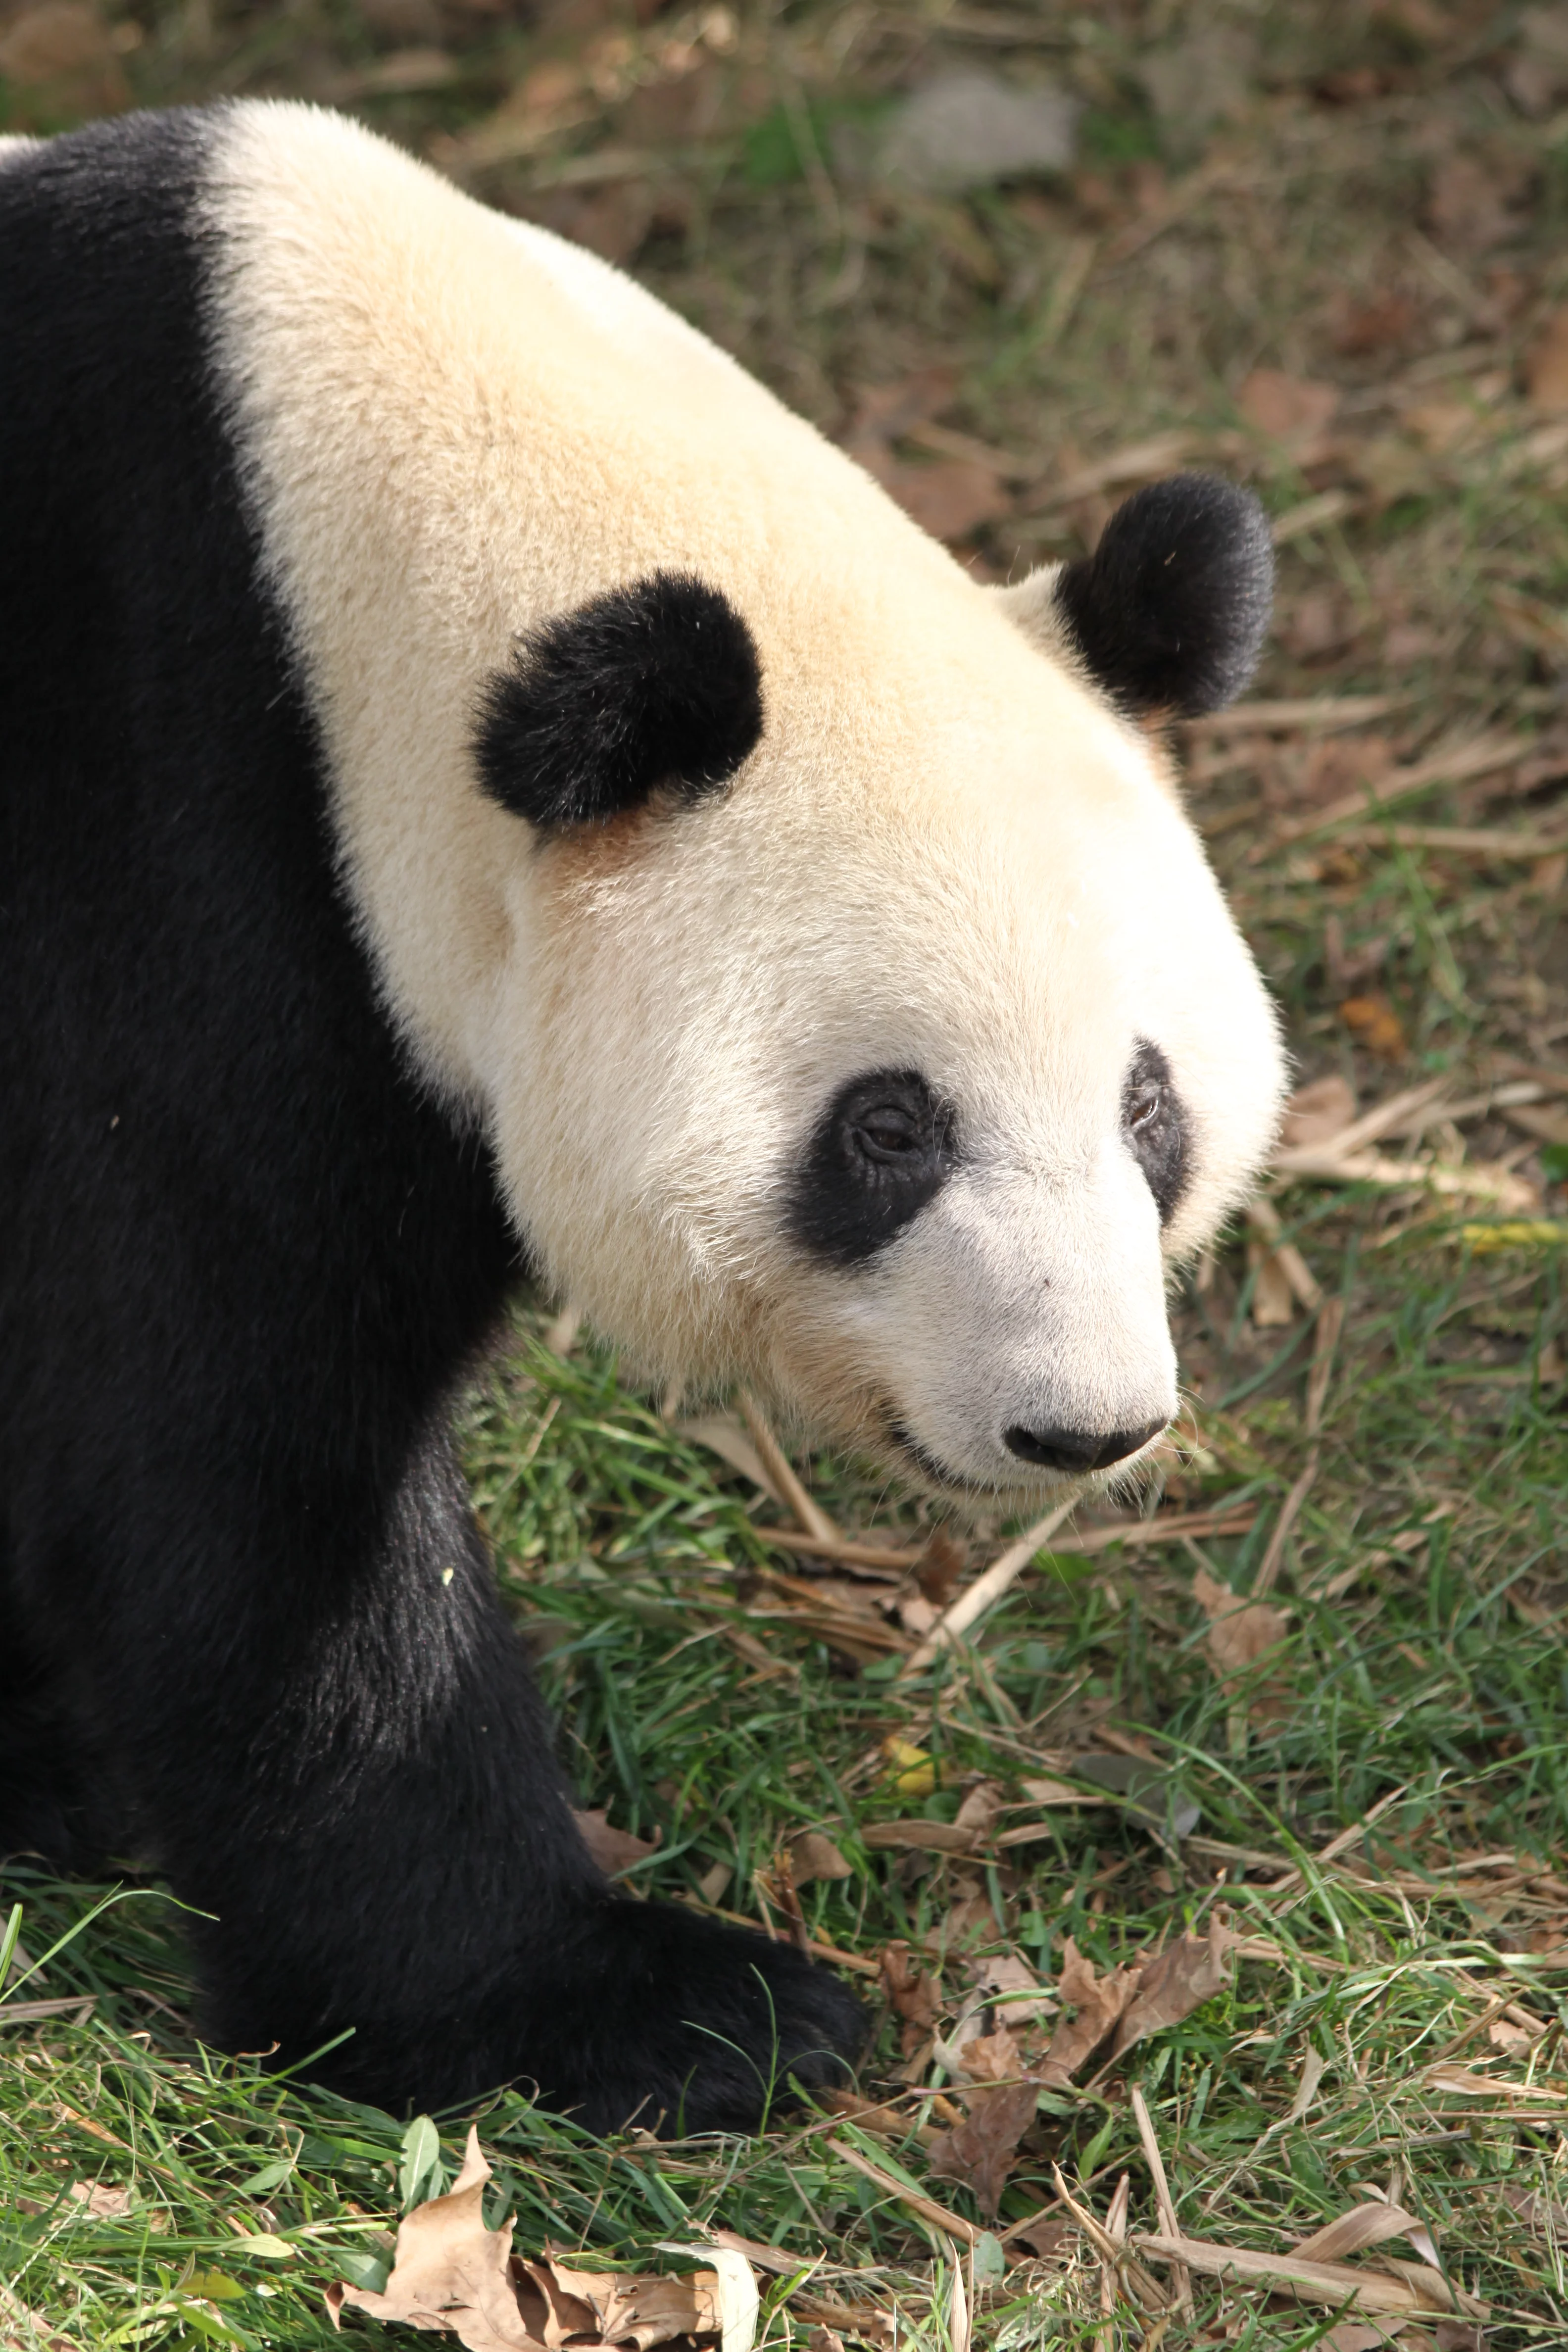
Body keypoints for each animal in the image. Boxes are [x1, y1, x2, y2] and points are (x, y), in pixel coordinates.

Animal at [0, 102, 1285, 2134]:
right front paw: (644, 2007)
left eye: (1147, 1104)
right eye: (890, 1130)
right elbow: (234, 1460)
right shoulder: (170, 848)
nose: (1081, 1427)